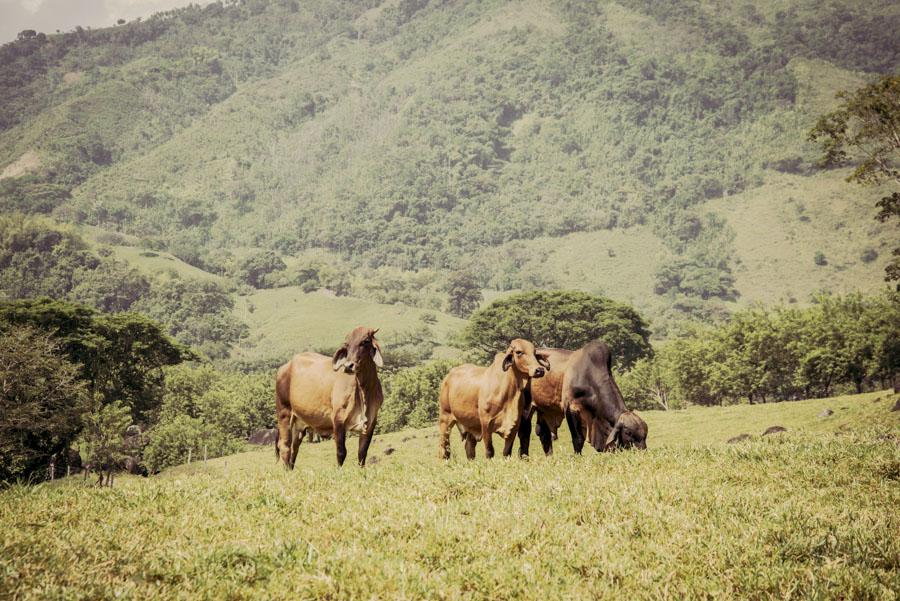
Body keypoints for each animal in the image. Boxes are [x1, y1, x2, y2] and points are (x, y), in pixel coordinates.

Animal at [276, 326, 384, 466]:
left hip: (298, 424)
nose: (348, 366)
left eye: (365, 341)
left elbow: (362, 453)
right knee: (285, 447)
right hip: (284, 413)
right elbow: (341, 452)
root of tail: (285, 367)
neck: (364, 389)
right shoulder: (338, 419)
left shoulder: (370, 423)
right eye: (347, 344)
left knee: (294, 449)